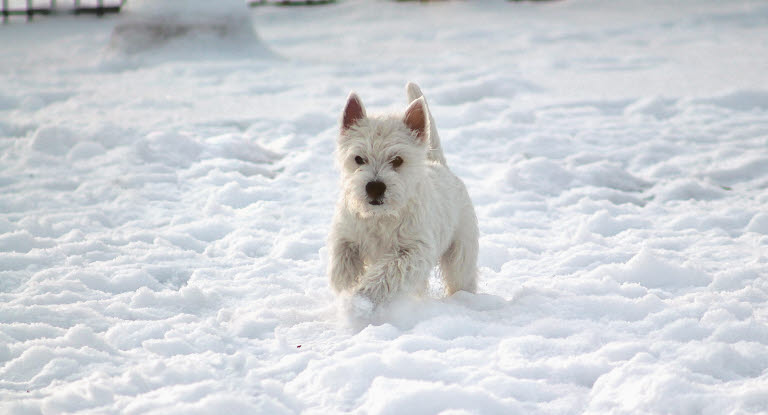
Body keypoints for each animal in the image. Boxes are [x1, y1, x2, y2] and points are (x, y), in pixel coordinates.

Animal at [328, 82, 476, 306]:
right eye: (358, 158)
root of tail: (440, 164)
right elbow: (342, 266)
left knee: (461, 276)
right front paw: (349, 289)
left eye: (397, 160)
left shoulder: (414, 249)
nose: (375, 187)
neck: (380, 217)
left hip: (461, 250)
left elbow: (389, 270)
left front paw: (364, 296)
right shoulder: (346, 236)